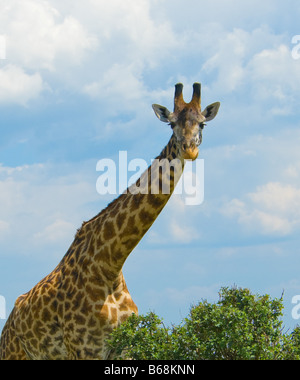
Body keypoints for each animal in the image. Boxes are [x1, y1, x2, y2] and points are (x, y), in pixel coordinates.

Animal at [0, 82, 220, 360]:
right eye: (171, 124)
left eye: (202, 124)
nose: (189, 149)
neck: (110, 264)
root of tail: (8, 324)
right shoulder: (84, 348)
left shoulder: (124, 348)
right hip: (14, 353)